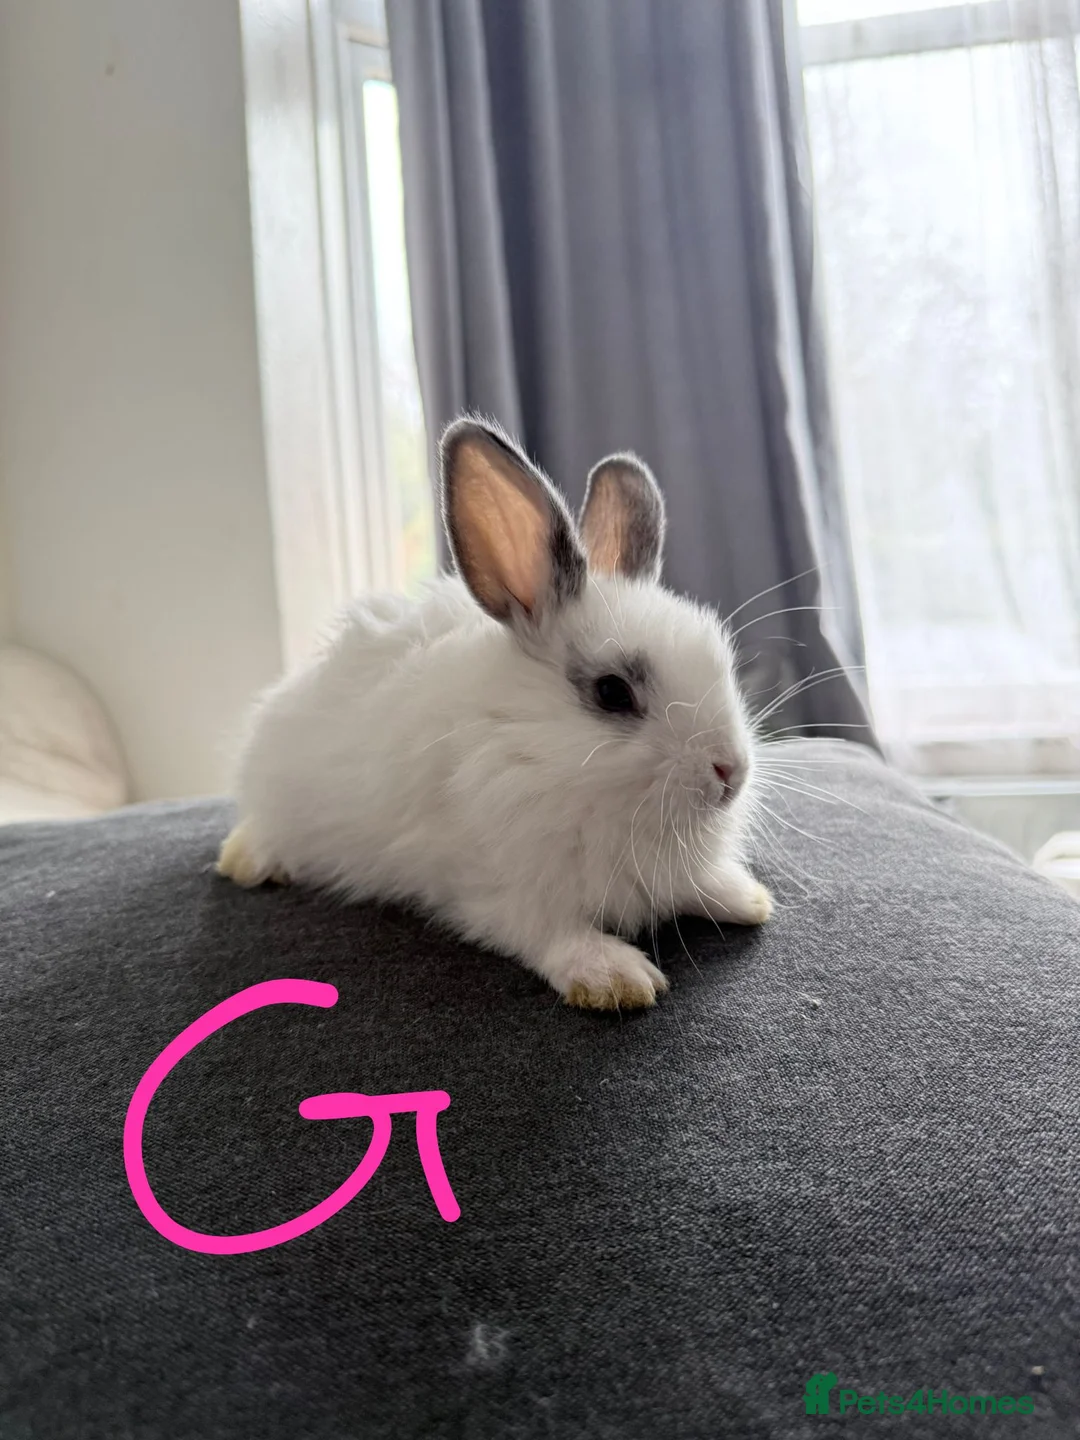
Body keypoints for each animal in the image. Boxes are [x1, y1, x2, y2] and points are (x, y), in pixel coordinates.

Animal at [217, 416, 772, 1009]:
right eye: (612, 692)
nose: (731, 772)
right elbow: (550, 931)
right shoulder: (495, 888)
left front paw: (745, 898)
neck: (533, 749)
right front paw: (614, 978)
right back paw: (248, 862)